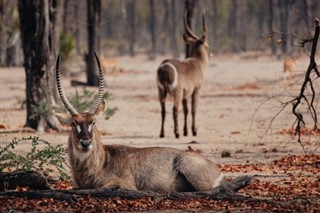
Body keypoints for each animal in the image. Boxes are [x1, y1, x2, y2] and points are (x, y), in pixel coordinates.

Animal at [55, 52, 225, 191]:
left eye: (94, 122)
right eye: (73, 123)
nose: (85, 143)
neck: (103, 161)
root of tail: (217, 170)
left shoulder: (122, 185)